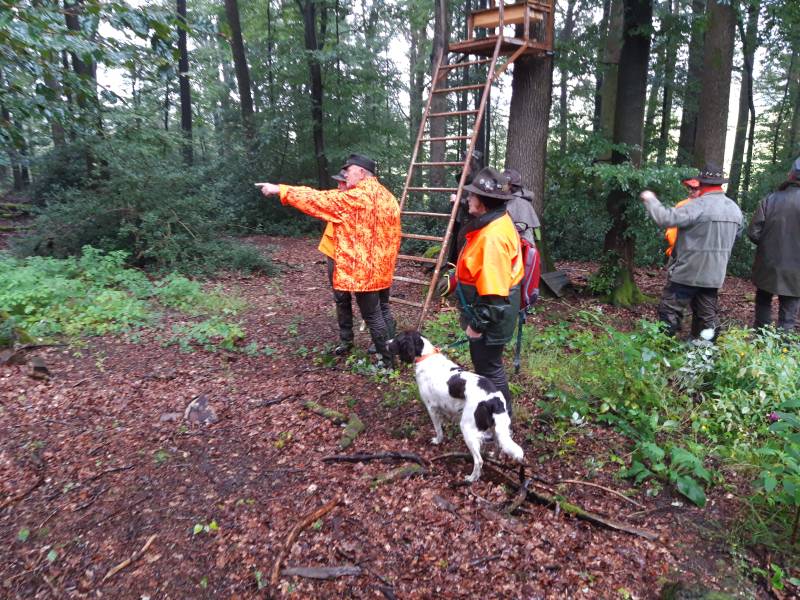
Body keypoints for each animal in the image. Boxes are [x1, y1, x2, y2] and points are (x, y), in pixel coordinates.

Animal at [384, 330, 520, 480]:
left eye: (397, 339)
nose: (385, 343)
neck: (427, 357)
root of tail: (493, 399)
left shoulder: (431, 408)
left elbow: (438, 429)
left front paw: (438, 440)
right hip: (495, 427)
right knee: (498, 444)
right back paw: (493, 457)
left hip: (467, 427)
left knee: (479, 461)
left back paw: (471, 478)